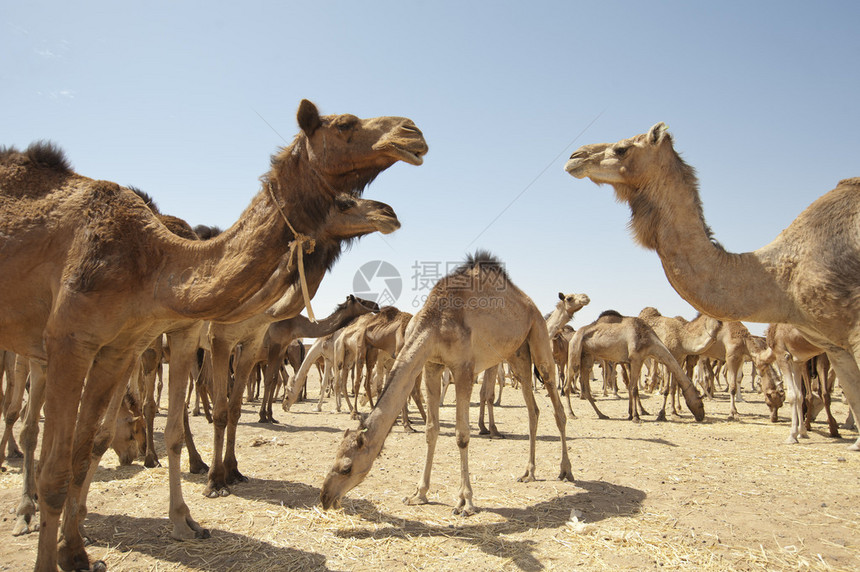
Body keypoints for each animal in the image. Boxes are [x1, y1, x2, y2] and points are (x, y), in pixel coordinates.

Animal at [0, 101, 428, 572]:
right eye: (345, 125)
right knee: (45, 421)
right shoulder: (102, 340)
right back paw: (32, 508)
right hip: (67, 350)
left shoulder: (224, 341)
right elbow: (218, 411)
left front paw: (225, 475)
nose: (412, 131)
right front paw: (214, 482)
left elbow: (227, 409)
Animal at [320, 252, 576, 516]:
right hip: (518, 354)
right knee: (532, 410)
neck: (435, 324)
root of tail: (530, 304)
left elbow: (462, 434)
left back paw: (566, 470)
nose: (325, 497)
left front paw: (465, 502)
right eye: (334, 460)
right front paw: (419, 494)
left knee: (555, 404)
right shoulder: (432, 365)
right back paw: (529, 472)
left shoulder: (463, 369)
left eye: (347, 468)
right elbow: (431, 430)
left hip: (539, 338)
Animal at [564, 310, 704, 422]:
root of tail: (575, 334)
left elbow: (633, 387)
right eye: (701, 404)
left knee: (586, 388)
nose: (701, 416)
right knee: (567, 384)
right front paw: (636, 417)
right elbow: (634, 388)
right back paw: (571, 414)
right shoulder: (636, 358)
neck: (649, 340)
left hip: (587, 357)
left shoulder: (636, 360)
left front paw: (631, 414)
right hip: (574, 351)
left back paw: (602, 415)